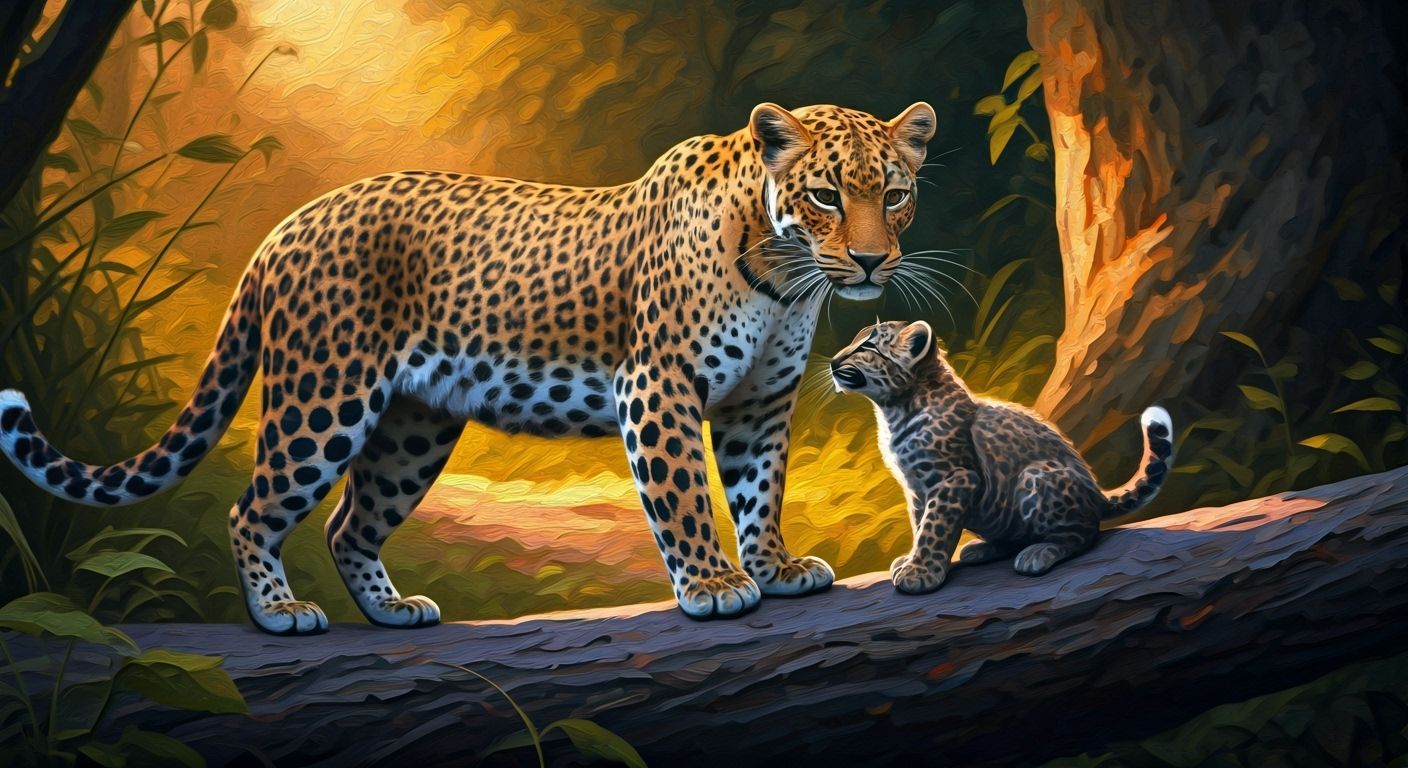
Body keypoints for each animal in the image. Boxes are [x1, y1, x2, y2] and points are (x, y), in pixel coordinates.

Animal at [0, 101, 938, 634]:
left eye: (894, 194)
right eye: (824, 194)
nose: (869, 261)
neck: (783, 271)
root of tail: (287, 225)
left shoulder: (759, 401)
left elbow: (757, 490)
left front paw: (775, 568)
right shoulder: (659, 386)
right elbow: (682, 494)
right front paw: (713, 584)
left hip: (413, 427)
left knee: (349, 524)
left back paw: (391, 611)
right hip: (322, 400)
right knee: (253, 508)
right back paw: (278, 612)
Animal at [829, 319, 1173, 595]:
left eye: (868, 347)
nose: (832, 362)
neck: (894, 410)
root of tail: (1096, 493)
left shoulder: (956, 478)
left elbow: (934, 527)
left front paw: (920, 573)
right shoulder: (915, 488)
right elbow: (918, 524)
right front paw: (911, 560)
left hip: (1036, 476)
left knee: (1085, 533)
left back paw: (1038, 553)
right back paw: (981, 549)